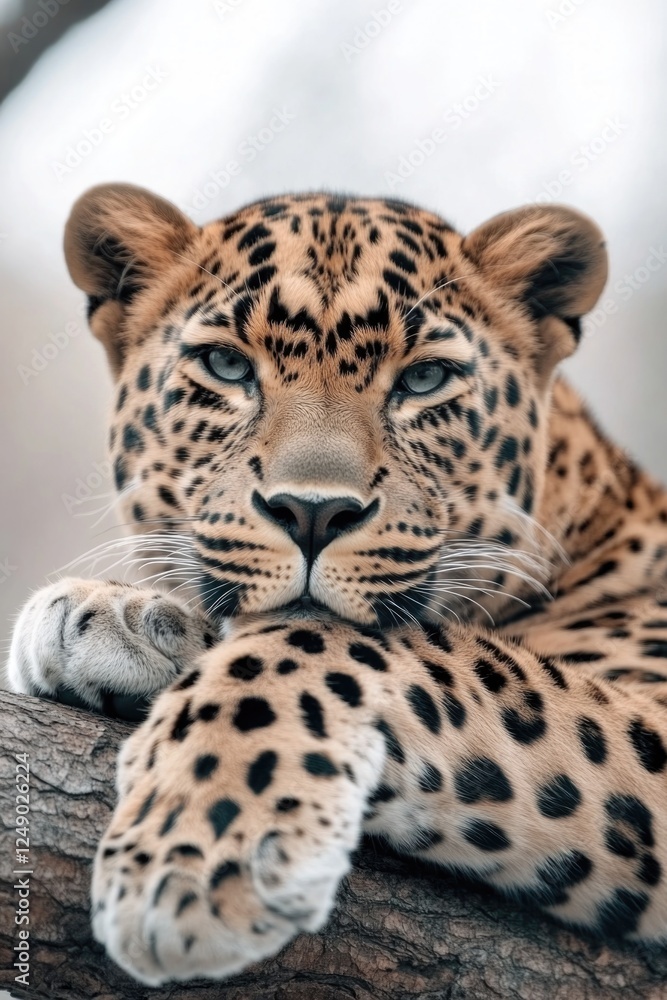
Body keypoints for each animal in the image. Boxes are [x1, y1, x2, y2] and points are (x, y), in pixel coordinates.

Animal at [8, 183, 667, 986]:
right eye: (226, 366)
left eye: (423, 379)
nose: (313, 513)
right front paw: (116, 620)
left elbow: (336, 643)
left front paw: (193, 854)